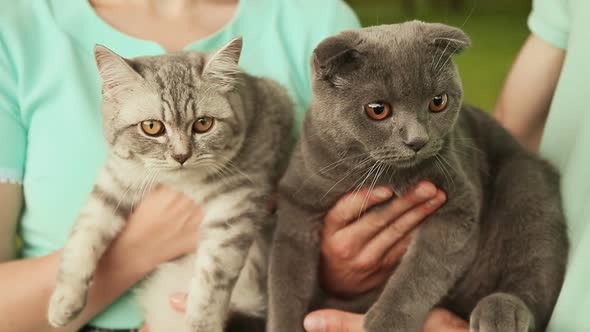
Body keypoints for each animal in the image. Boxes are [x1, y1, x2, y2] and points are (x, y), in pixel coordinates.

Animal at [46, 37, 294, 332]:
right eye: (152, 127)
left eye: (203, 123)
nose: (181, 156)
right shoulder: (115, 181)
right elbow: (84, 234)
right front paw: (64, 299)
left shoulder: (234, 206)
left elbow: (213, 280)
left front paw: (201, 325)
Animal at [268, 21, 568, 332]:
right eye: (378, 109)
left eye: (438, 102)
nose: (417, 140)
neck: (384, 175)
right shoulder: (297, 204)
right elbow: (284, 283)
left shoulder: (459, 205)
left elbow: (417, 274)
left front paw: (385, 323)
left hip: (525, 181)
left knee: (534, 272)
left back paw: (501, 312)